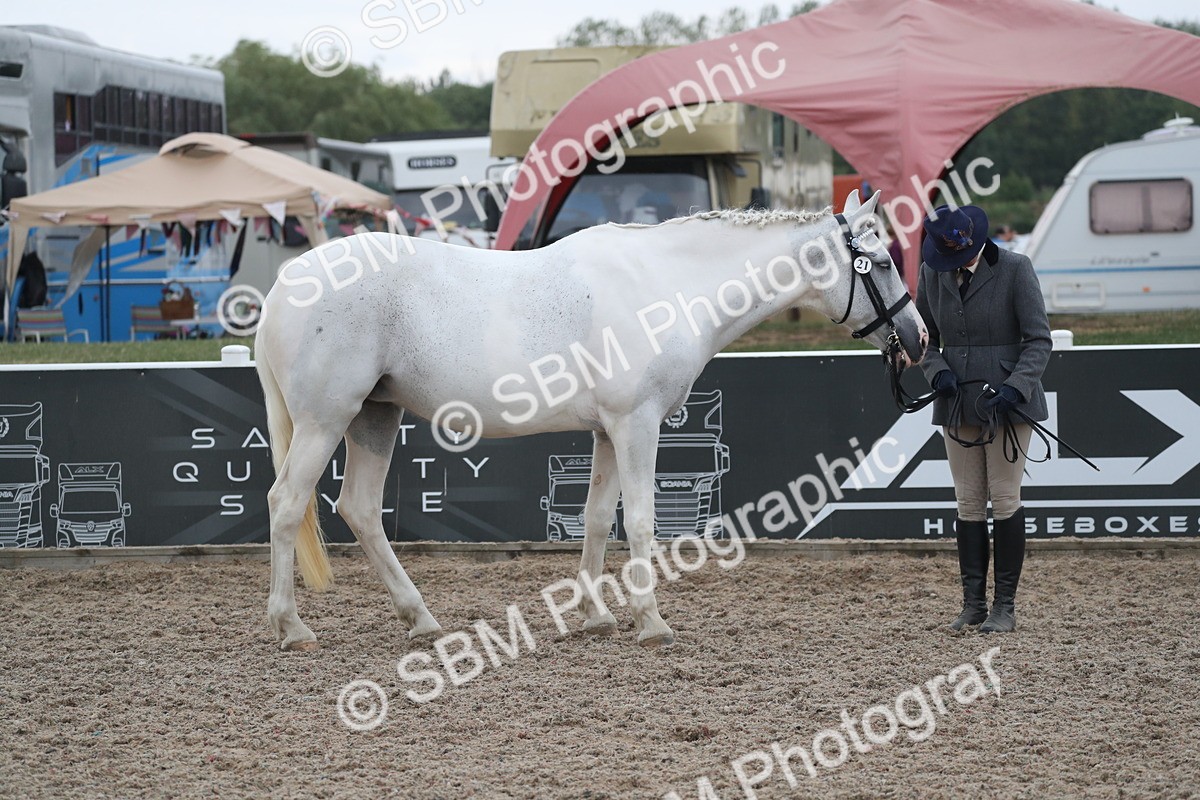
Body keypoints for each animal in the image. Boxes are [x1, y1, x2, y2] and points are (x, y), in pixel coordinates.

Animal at [254, 189, 927, 651]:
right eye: (882, 262)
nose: (919, 339)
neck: (668, 286)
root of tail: (284, 283)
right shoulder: (637, 425)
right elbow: (643, 521)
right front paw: (651, 622)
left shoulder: (607, 430)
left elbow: (599, 519)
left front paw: (597, 616)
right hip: (326, 421)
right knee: (287, 503)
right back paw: (291, 627)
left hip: (376, 416)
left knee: (361, 509)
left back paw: (420, 618)